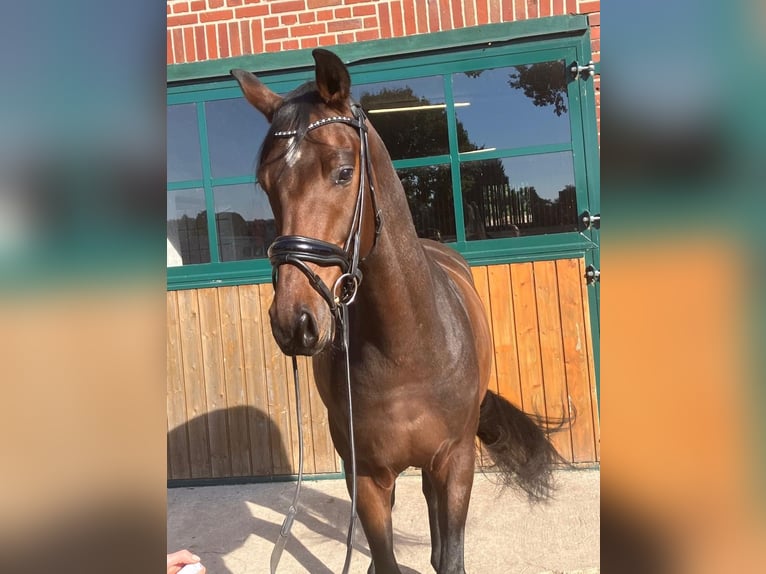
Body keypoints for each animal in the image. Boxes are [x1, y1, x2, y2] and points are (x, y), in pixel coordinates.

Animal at [232, 48, 564, 574]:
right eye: (266, 184)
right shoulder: (365, 474)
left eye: (343, 172)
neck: (405, 349)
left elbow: (450, 555)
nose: (293, 323)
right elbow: (383, 554)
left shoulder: (455, 462)